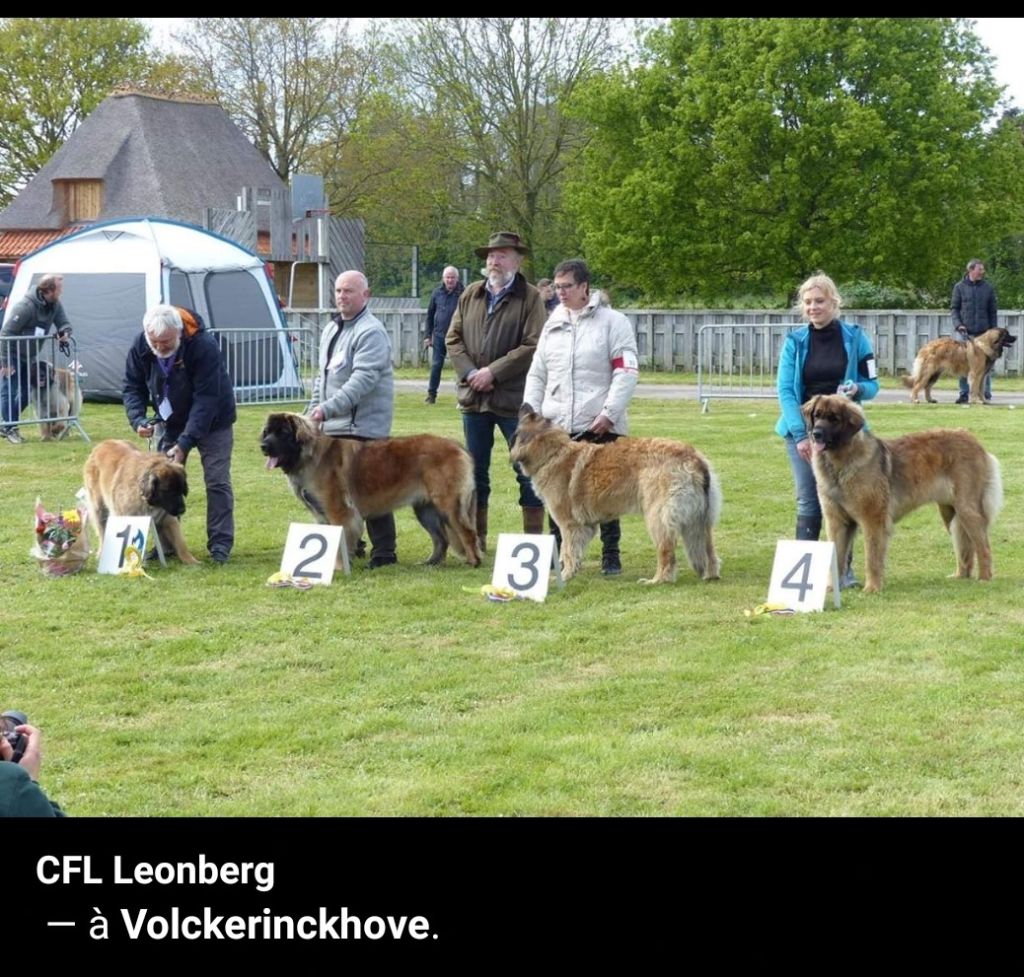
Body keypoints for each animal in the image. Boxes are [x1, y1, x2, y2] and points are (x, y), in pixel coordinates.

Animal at [82, 436, 199, 565]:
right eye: (167, 490)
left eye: (181, 490)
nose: (182, 510)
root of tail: (103, 443)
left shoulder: (168, 518)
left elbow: (180, 542)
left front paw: (191, 560)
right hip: (99, 508)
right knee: (102, 531)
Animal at [256, 409, 479, 565]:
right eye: (267, 432)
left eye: (283, 433)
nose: (264, 446)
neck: (309, 456)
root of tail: (458, 446)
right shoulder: (321, 514)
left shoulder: (339, 511)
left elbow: (340, 542)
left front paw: (338, 567)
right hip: (425, 509)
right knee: (441, 538)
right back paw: (431, 563)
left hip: (448, 505)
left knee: (467, 532)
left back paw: (473, 562)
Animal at [509, 401, 720, 581]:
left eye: (530, 415)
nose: (524, 402)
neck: (553, 453)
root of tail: (693, 458)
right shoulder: (584, 526)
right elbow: (572, 551)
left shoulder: (569, 524)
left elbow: (568, 551)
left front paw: (565, 575)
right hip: (699, 520)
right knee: (709, 551)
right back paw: (710, 575)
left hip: (658, 516)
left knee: (667, 551)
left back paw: (658, 580)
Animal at [798, 393, 999, 589]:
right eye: (816, 415)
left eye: (834, 419)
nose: (816, 434)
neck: (841, 462)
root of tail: (973, 439)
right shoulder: (837, 522)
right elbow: (836, 557)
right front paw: (831, 590)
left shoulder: (873, 519)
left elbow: (872, 557)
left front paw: (872, 588)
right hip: (949, 511)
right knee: (966, 545)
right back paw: (960, 575)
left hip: (967, 508)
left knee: (983, 545)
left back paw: (984, 578)